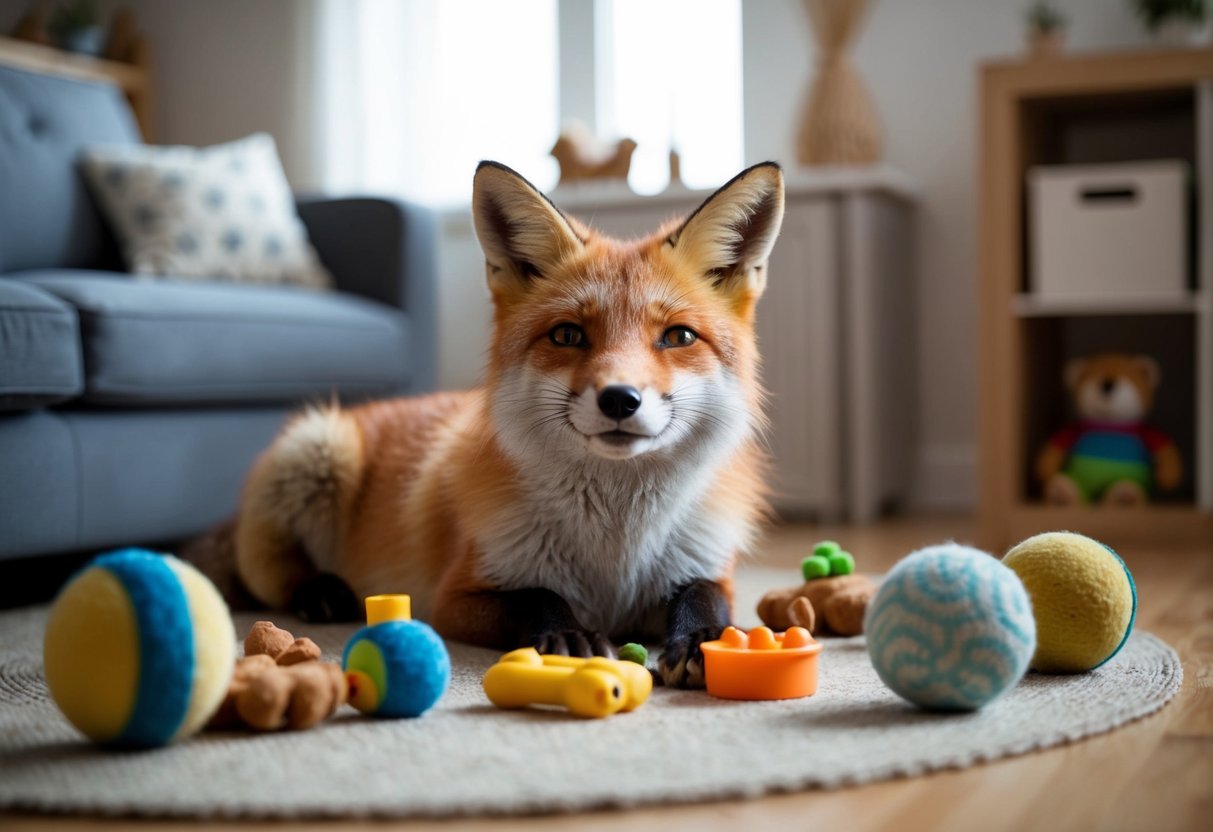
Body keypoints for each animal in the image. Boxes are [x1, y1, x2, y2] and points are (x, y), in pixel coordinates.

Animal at [233, 160, 785, 687]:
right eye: (567, 335)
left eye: (678, 336)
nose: (620, 400)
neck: (614, 557)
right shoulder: (454, 598)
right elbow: (535, 595)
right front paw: (567, 636)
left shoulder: (705, 568)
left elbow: (705, 598)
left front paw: (702, 638)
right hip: (317, 451)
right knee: (266, 575)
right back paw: (320, 592)